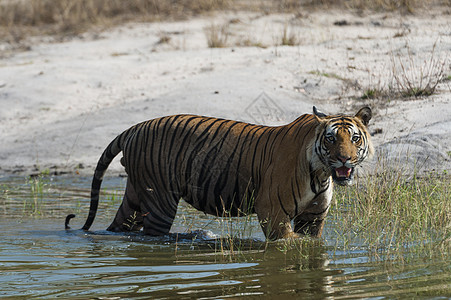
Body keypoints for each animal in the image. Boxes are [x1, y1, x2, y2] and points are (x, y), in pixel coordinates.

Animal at [64, 106, 374, 240]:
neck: (320, 172)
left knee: (121, 226)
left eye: (354, 138)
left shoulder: (313, 218)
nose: (344, 158)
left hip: (135, 197)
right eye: (331, 139)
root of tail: (134, 127)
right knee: (152, 234)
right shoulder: (272, 211)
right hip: (160, 198)